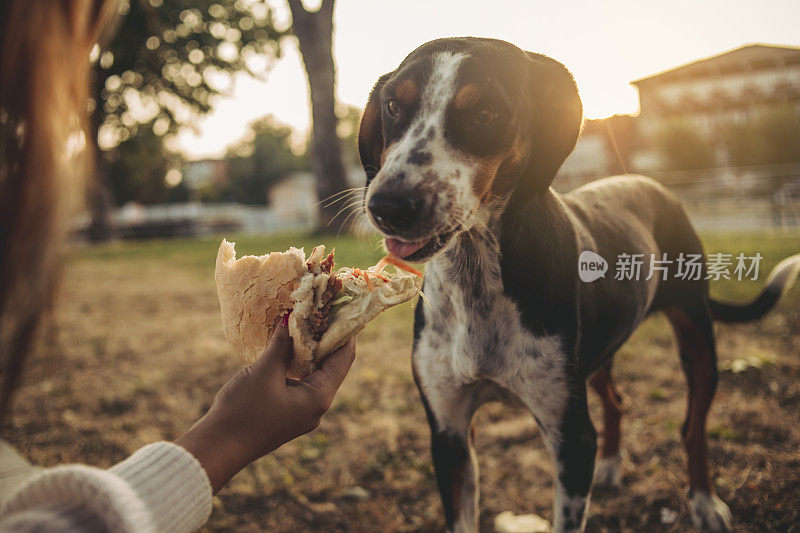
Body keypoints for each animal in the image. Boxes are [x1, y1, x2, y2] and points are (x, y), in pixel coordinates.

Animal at [356, 35, 800, 528]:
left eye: (486, 112)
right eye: (393, 105)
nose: (388, 205)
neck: (475, 279)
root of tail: (647, 181)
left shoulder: (570, 437)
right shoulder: (448, 433)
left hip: (697, 339)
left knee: (693, 428)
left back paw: (704, 501)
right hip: (599, 355)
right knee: (616, 400)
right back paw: (611, 466)